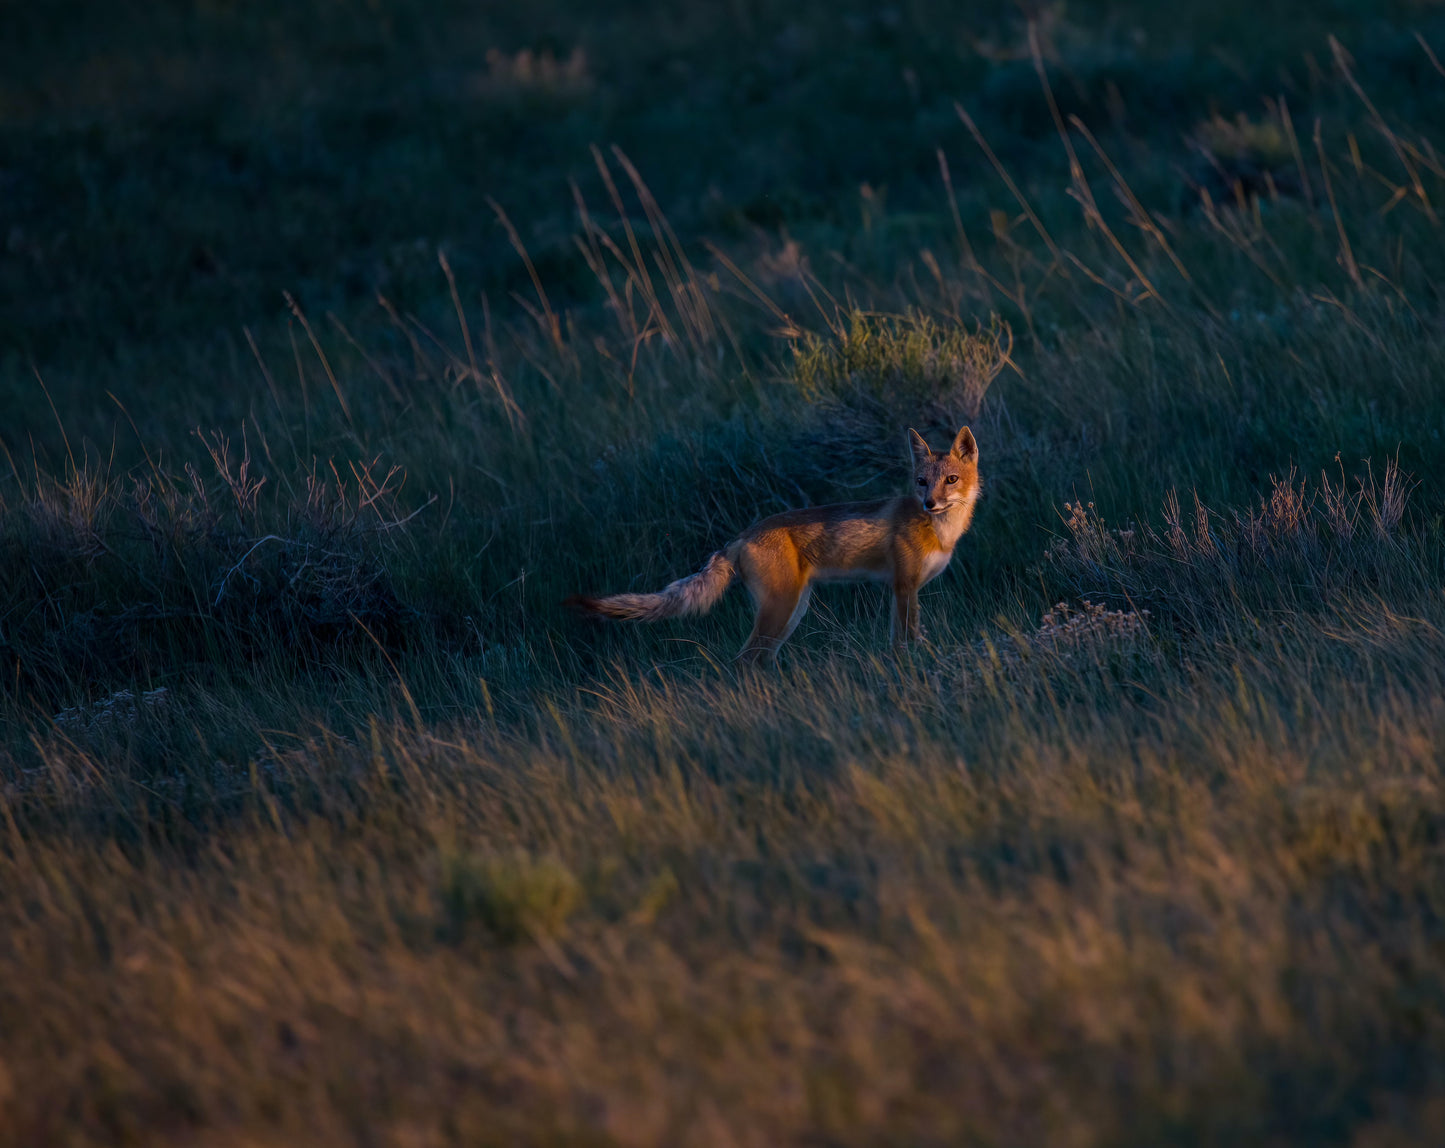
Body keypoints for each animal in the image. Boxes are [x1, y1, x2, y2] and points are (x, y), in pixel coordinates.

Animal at [569, 425, 976, 662]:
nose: (930, 503)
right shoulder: (905, 587)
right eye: (921, 482)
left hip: (792, 610)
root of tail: (739, 536)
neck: (941, 533)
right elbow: (907, 641)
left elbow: (902, 640)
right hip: (782, 609)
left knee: (759, 661)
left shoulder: (902, 590)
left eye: (951, 480)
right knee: (744, 661)